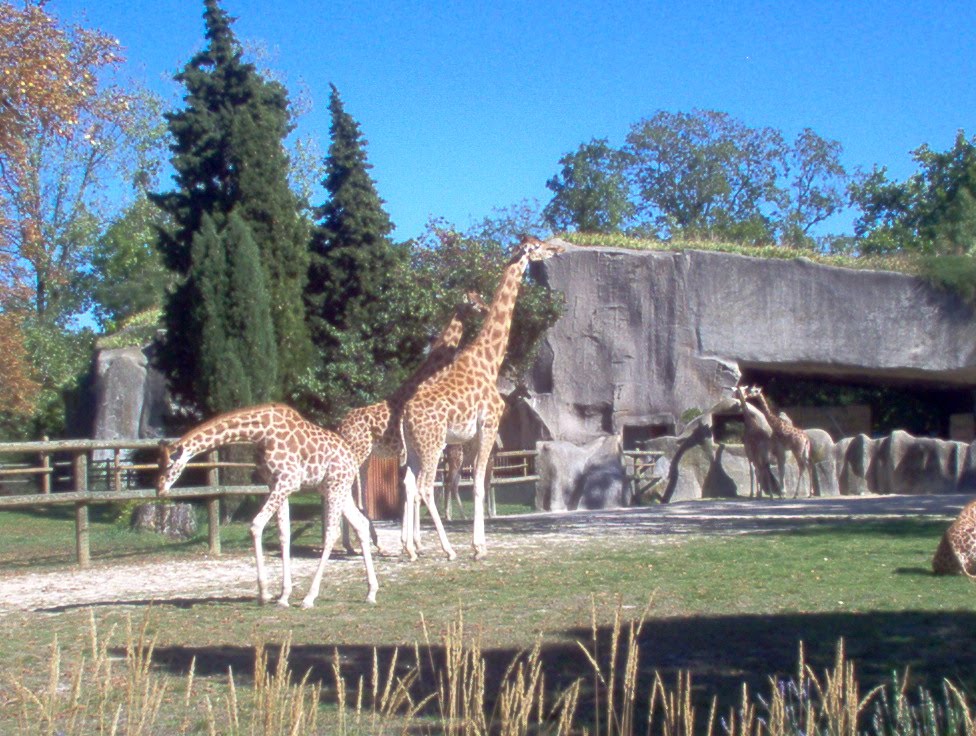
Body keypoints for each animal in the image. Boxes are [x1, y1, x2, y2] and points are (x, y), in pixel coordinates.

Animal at [158, 406, 376, 608]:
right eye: (157, 463)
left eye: (169, 465)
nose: (159, 489)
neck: (261, 433)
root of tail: (353, 459)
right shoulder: (275, 483)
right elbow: (283, 533)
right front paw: (283, 596)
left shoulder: (288, 481)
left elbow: (256, 525)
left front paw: (264, 594)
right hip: (336, 490)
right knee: (361, 524)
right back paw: (371, 592)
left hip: (334, 487)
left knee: (332, 532)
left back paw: (309, 598)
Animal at [396, 234, 564, 556]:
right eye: (538, 245)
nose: (558, 247)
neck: (489, 359)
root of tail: (405, 415)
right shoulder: (488, 425)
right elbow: (478, 483)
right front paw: (478, 547)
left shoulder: (473, 436)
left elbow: (478, 482)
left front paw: (478, 542)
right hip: (433, 444)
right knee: (425, 485)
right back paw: (448, 549)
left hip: (413, 447)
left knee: (410, 483)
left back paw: (411, 549)